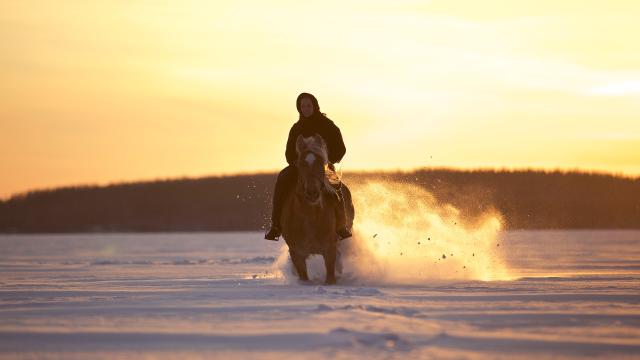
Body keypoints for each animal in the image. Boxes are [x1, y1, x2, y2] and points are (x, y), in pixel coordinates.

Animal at [282, 133, 356, 284]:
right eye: (300, 163)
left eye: (321, 163)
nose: (312, 192)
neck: (310, 218)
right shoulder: (296, 253)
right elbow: (303, 277)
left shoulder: (329, 250)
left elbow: (331, 277)